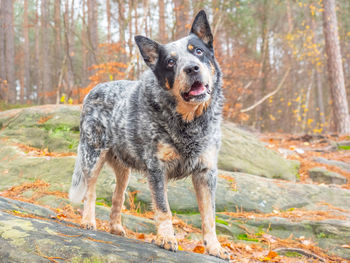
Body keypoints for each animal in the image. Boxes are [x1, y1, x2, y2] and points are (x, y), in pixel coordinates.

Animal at [69, 9, 228, 260]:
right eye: (171, 62)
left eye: (198, 51)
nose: (192, 68)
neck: (189, 121)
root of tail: (93, 90)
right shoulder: (156, 169)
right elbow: (164, 209)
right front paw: (166, 238)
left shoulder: (206, 172)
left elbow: (209, 216)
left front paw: (214, 247)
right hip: (92, 156)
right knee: (90, 192)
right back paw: (88, 221)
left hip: (124, 169)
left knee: (118, 196)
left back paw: (116, 227)